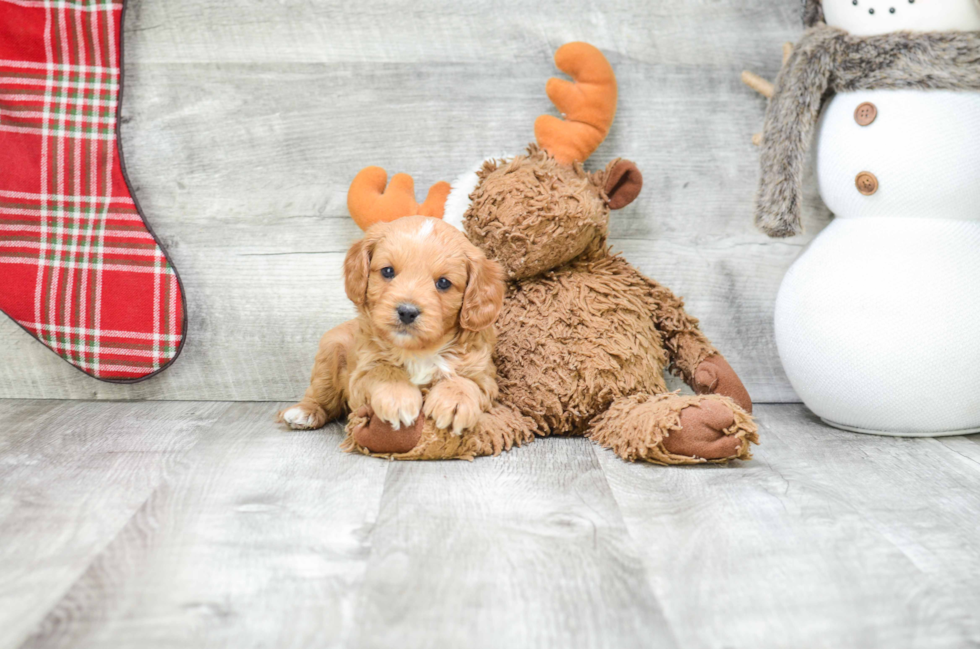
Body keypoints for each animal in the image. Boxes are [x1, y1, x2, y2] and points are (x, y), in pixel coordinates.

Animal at [280, 216, 502, 436]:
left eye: (444, 283)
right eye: (388, 271)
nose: (407, 312)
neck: (418, 351)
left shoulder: (484, 375)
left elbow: (466, 380)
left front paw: (455, 401)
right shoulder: (361, 372)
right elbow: (384, 370)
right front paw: (398, 398)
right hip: (329, 351)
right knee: (322, 393)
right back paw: (305, 412)